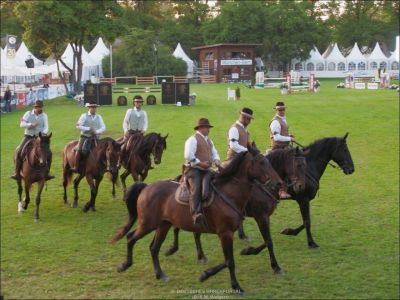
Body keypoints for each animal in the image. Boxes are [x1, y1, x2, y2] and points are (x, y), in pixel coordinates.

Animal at [111, 150, 282, 292]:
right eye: (261, 162)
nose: (279, 183)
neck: (229, 193)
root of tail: (146, 188)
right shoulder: (226, 233)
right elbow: (230, 261)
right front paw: (235, 286)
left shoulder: (233, 231)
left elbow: (232, 258)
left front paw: (206, 274)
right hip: (147, 224)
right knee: (131, 238)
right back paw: (124, 265)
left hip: (163, 225)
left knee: (154, 248)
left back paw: (161, 274)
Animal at [164, 147, 308, 274]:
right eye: (298, 165)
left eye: (304, 164)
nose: (302, 186)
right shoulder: (261, 217)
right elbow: (268, 241)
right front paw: (273, 265)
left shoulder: (263, 217)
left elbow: (267, 240)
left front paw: (249, 250)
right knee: (180, 229)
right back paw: (175, 250)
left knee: (191, 231)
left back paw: (198, 255)